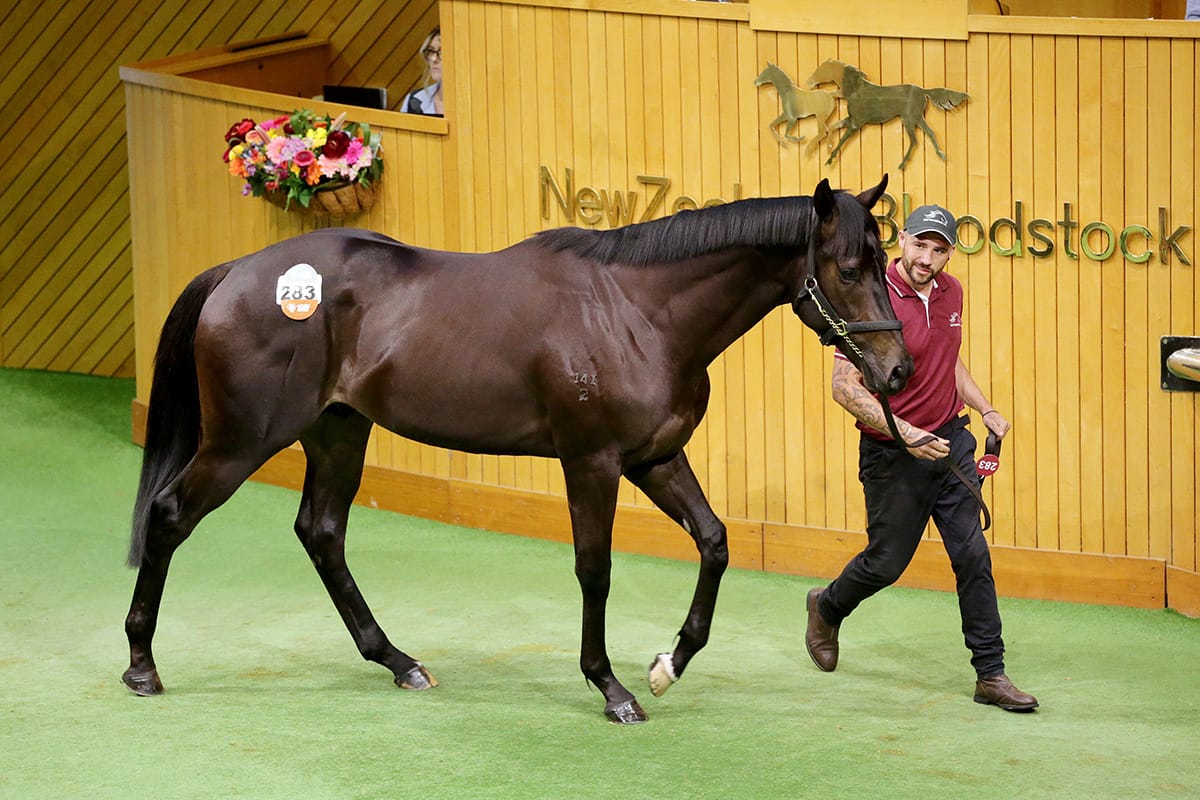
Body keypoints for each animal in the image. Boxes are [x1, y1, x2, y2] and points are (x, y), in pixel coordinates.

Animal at [121, 176, 913, 724]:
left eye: (886, 261)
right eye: (848, 269)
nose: (898, 370)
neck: (637, 313)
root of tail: (237, 271)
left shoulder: (653, 458)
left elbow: (715, 542)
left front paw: (668, 663)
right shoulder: (592, 462)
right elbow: (595, 570)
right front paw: (611, 688)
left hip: (339, 430)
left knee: (321, 533)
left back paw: (399, 661)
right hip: (240, 442)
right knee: (169, 515)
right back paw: (141, 665)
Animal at [806, 59, 969, 170]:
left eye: (822, 69)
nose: (809, 81)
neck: (854, 91)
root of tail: (923, 91)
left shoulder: (856, 123)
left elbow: (843, 138)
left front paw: (829, 158)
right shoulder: (851, 120)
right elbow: (832, 127)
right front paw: (822, 148)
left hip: (909, 120)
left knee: (915, 140)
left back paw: (902, 165)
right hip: (917, 119)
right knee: (930, 133)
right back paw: (941, 155)